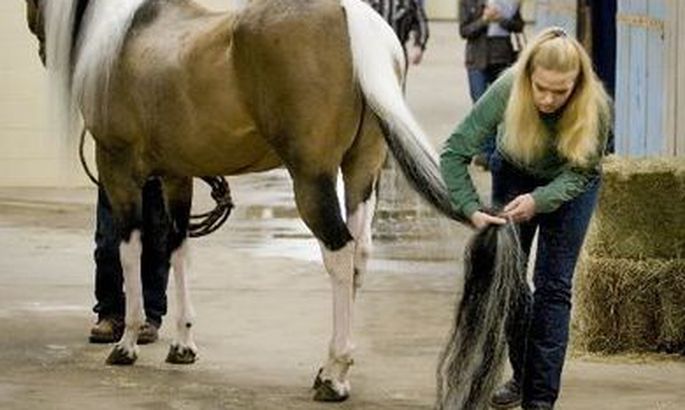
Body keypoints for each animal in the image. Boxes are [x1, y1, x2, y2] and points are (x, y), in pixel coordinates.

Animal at [24, 0, 468, 404]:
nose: (43, 51)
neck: (124, 37)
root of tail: (350, 15)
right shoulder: (176, 176)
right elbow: (177, 250)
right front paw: (183, 344)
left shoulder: (118, 170)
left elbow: (130, 251)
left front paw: (127, 342)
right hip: (362, 172)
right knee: (359, 255)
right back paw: (328, 369)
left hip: (313, 179)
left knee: (340, 254)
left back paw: (334, 376)